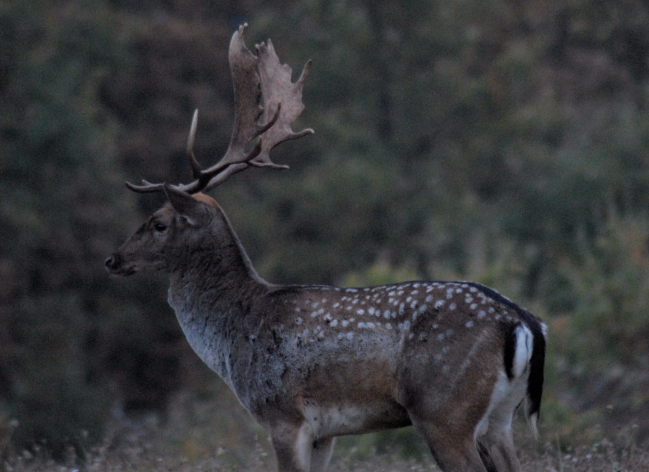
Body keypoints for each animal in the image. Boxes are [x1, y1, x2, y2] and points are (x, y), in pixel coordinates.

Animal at [106, 24, 548, 472]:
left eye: (159, 223)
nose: (113, 259)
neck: (234, 337)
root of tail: (524, 323)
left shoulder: (283, 414)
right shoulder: (325, 434)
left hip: (443, 410)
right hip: (500, 418)